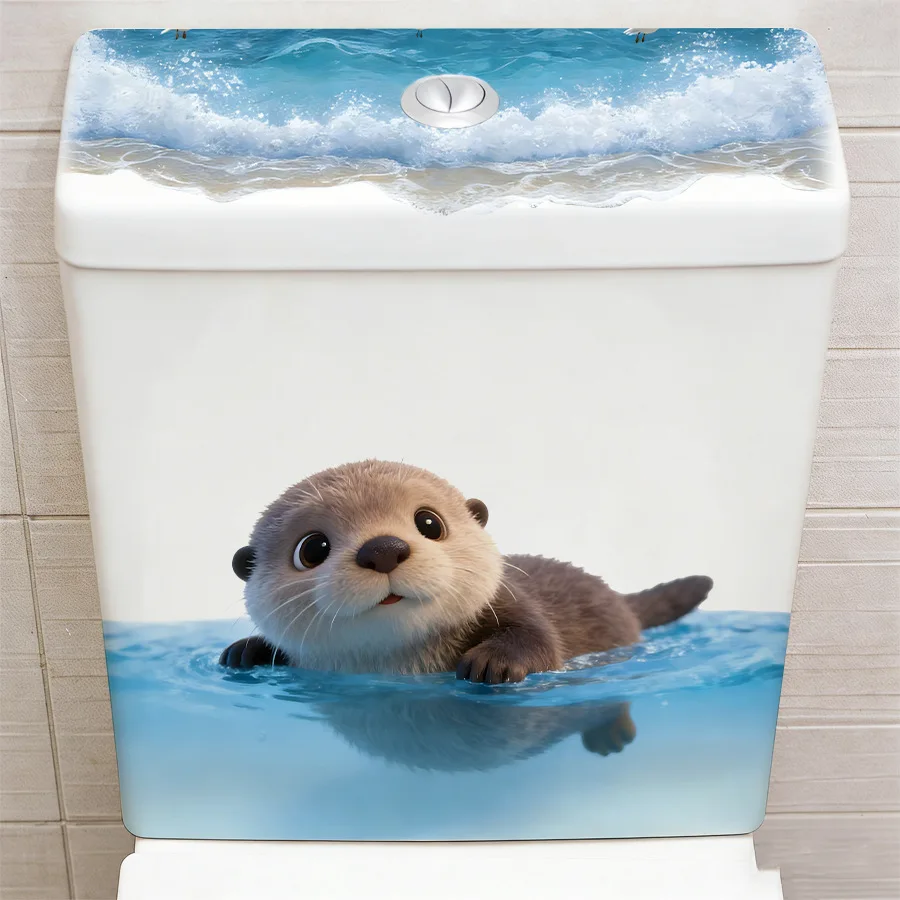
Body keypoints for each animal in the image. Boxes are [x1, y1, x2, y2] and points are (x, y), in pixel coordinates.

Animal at [220, 460, 712, 684]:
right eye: (312, 549)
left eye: (429, 523)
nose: (383, 549)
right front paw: (247, 650)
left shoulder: (512, 603)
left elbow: (541, 641)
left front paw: (496, 661)